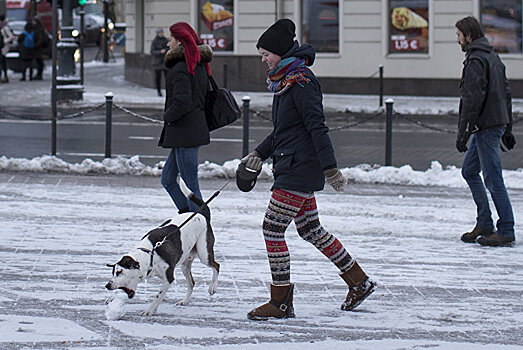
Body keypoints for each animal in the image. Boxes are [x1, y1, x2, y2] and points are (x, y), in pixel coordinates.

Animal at [105, 179, 220, 316]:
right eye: (113, 272)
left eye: (119, 272)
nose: (107, 285)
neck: (151, 254)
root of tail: (202, 216)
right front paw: (112, 297)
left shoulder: (168, 278)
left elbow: (158, 296)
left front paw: (149, 310)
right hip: (185, 264)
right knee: (192, 283)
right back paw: (185, 301)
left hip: (204, 254)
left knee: (216, 265)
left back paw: (212, 287)